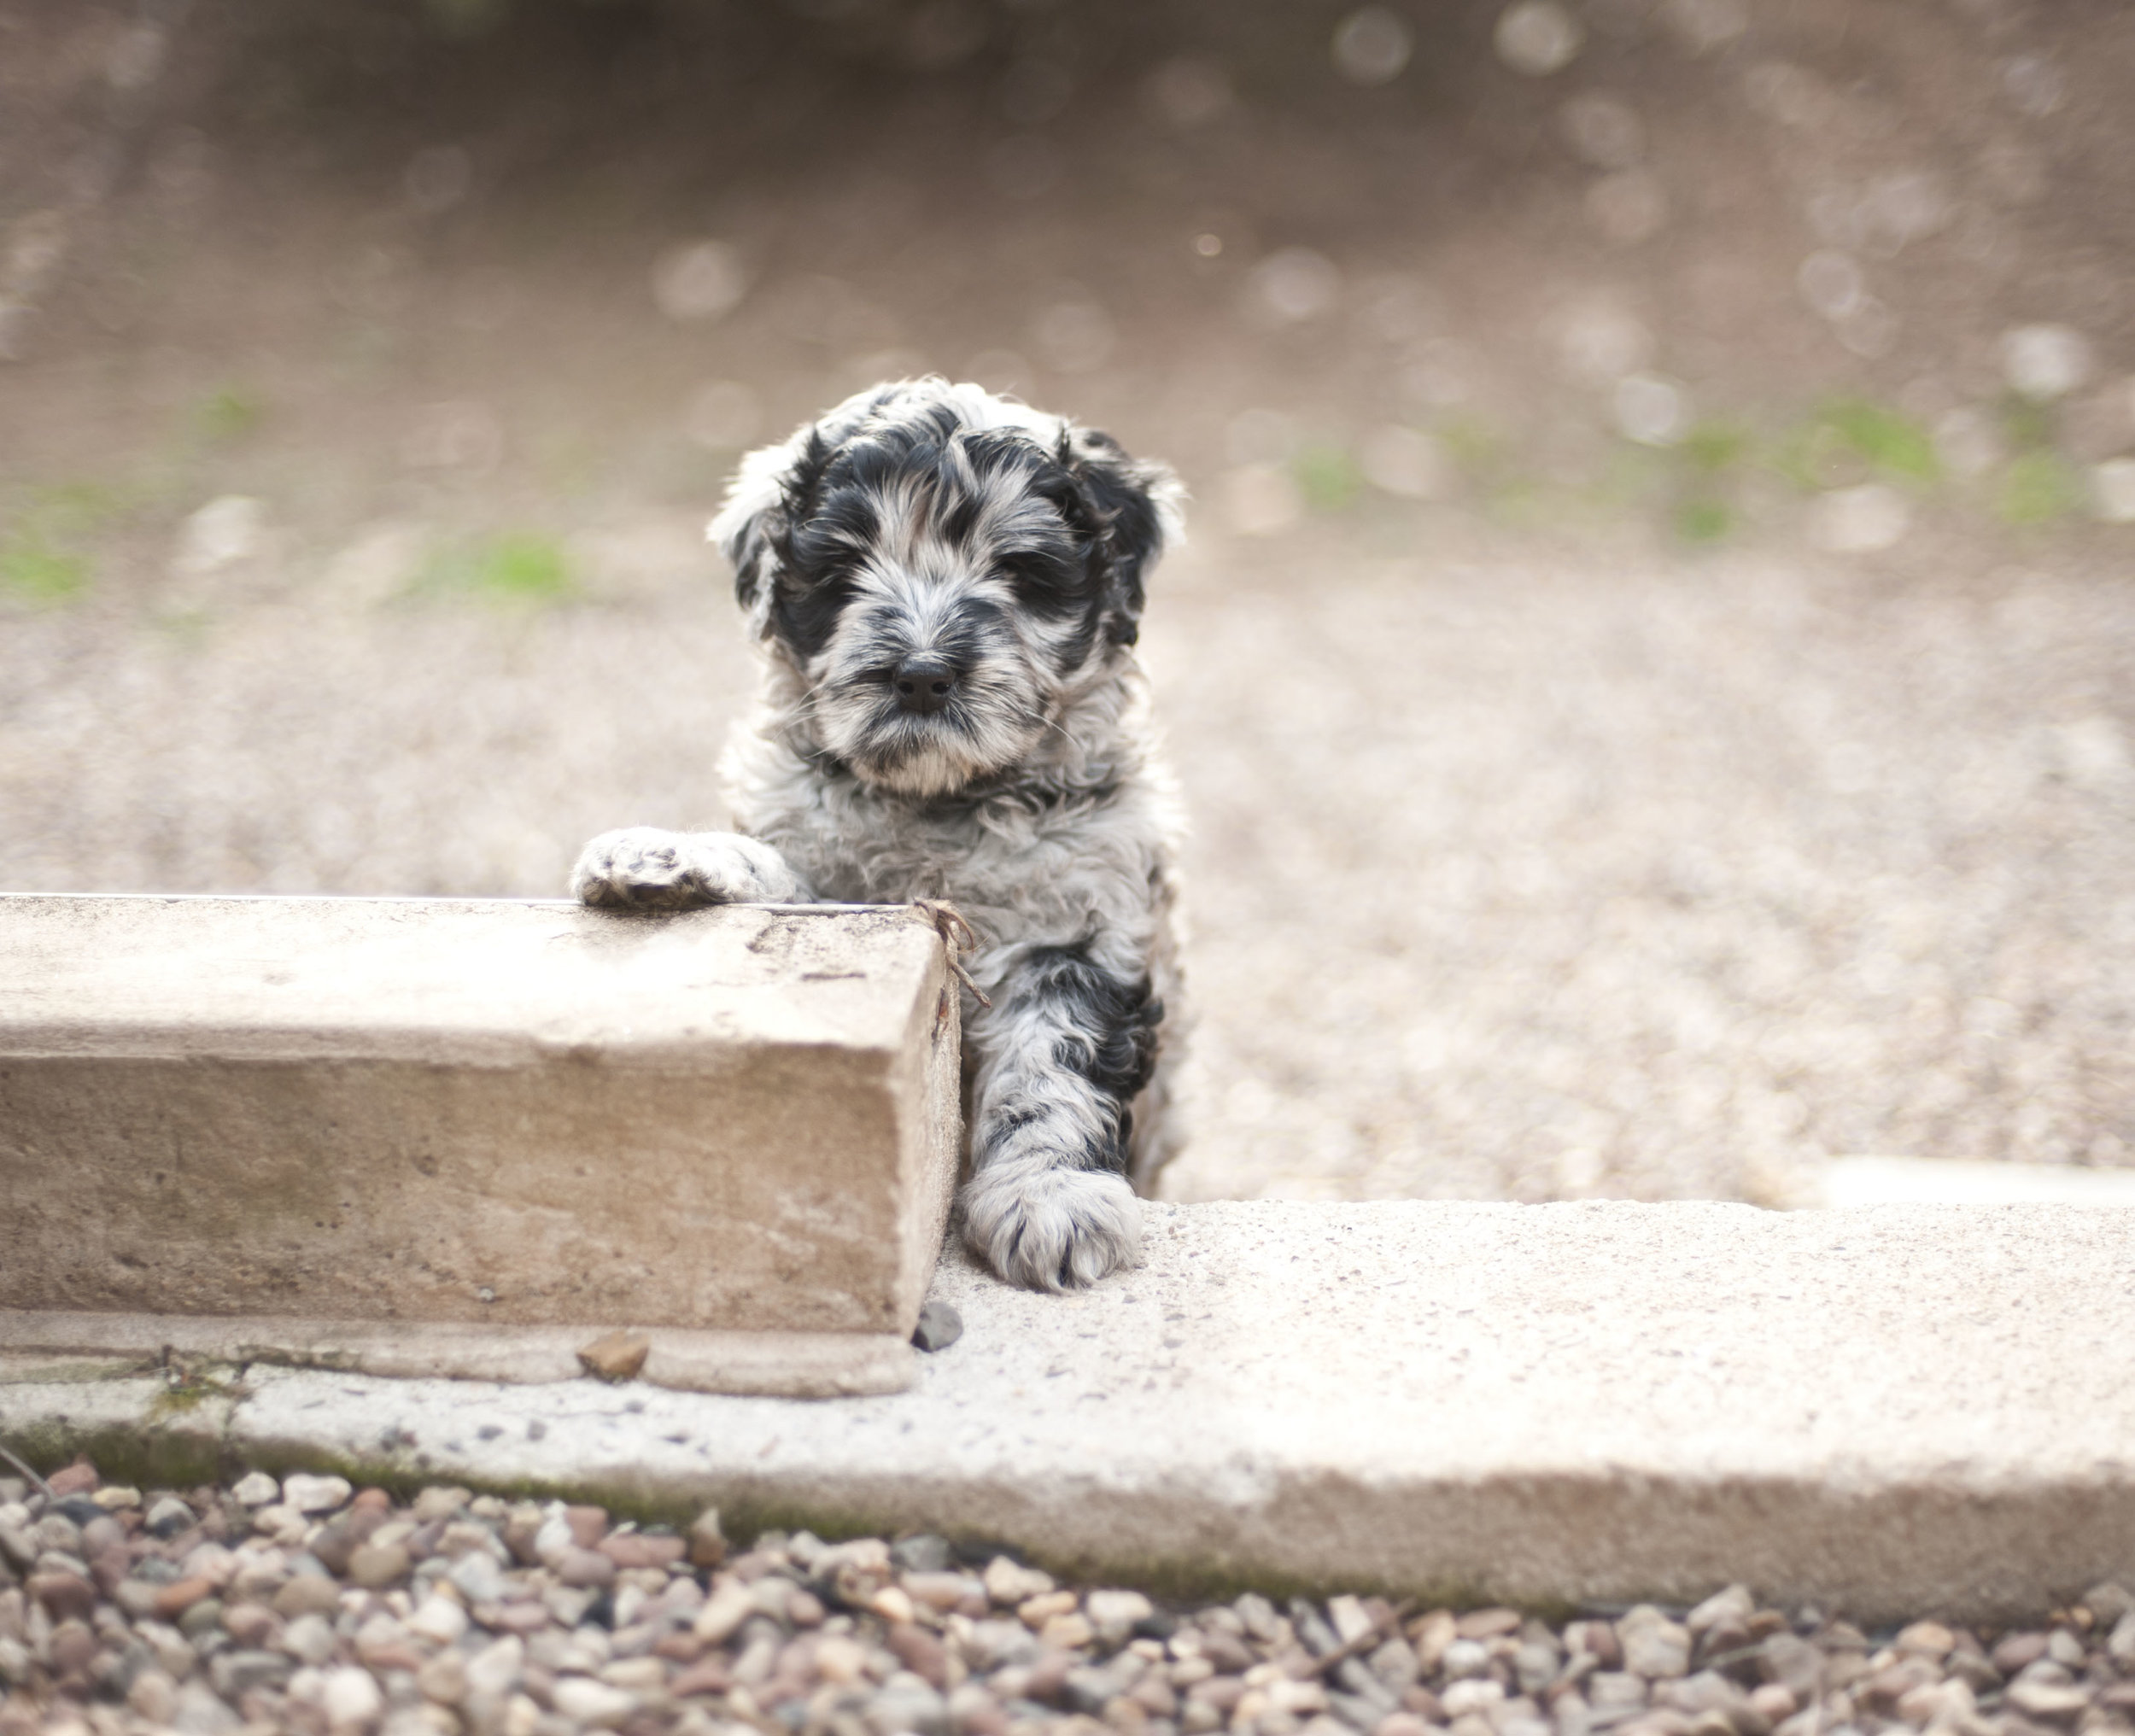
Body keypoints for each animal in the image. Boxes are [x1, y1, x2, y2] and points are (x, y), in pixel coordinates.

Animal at [572, 376, 1187, 1289]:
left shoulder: (1085, 925)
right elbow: (777, 873)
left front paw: (1049, 1197)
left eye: (1018, 569)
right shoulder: (838, 883)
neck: (938, 806)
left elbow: (1050, 1067)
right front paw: (666, 856)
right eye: (844, 569)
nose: (923, 673)